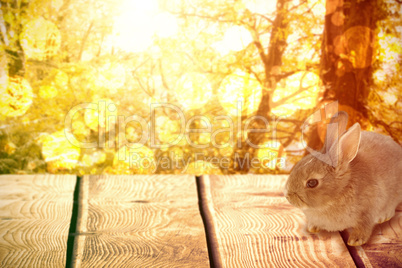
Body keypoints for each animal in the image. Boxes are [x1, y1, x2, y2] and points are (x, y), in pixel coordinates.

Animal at [282, 110, 402, 245]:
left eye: (312, 183)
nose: (287, 196)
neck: (340, 191)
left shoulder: (368, 212)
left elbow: (364, 227)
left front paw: (355, 240)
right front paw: (313, 227)